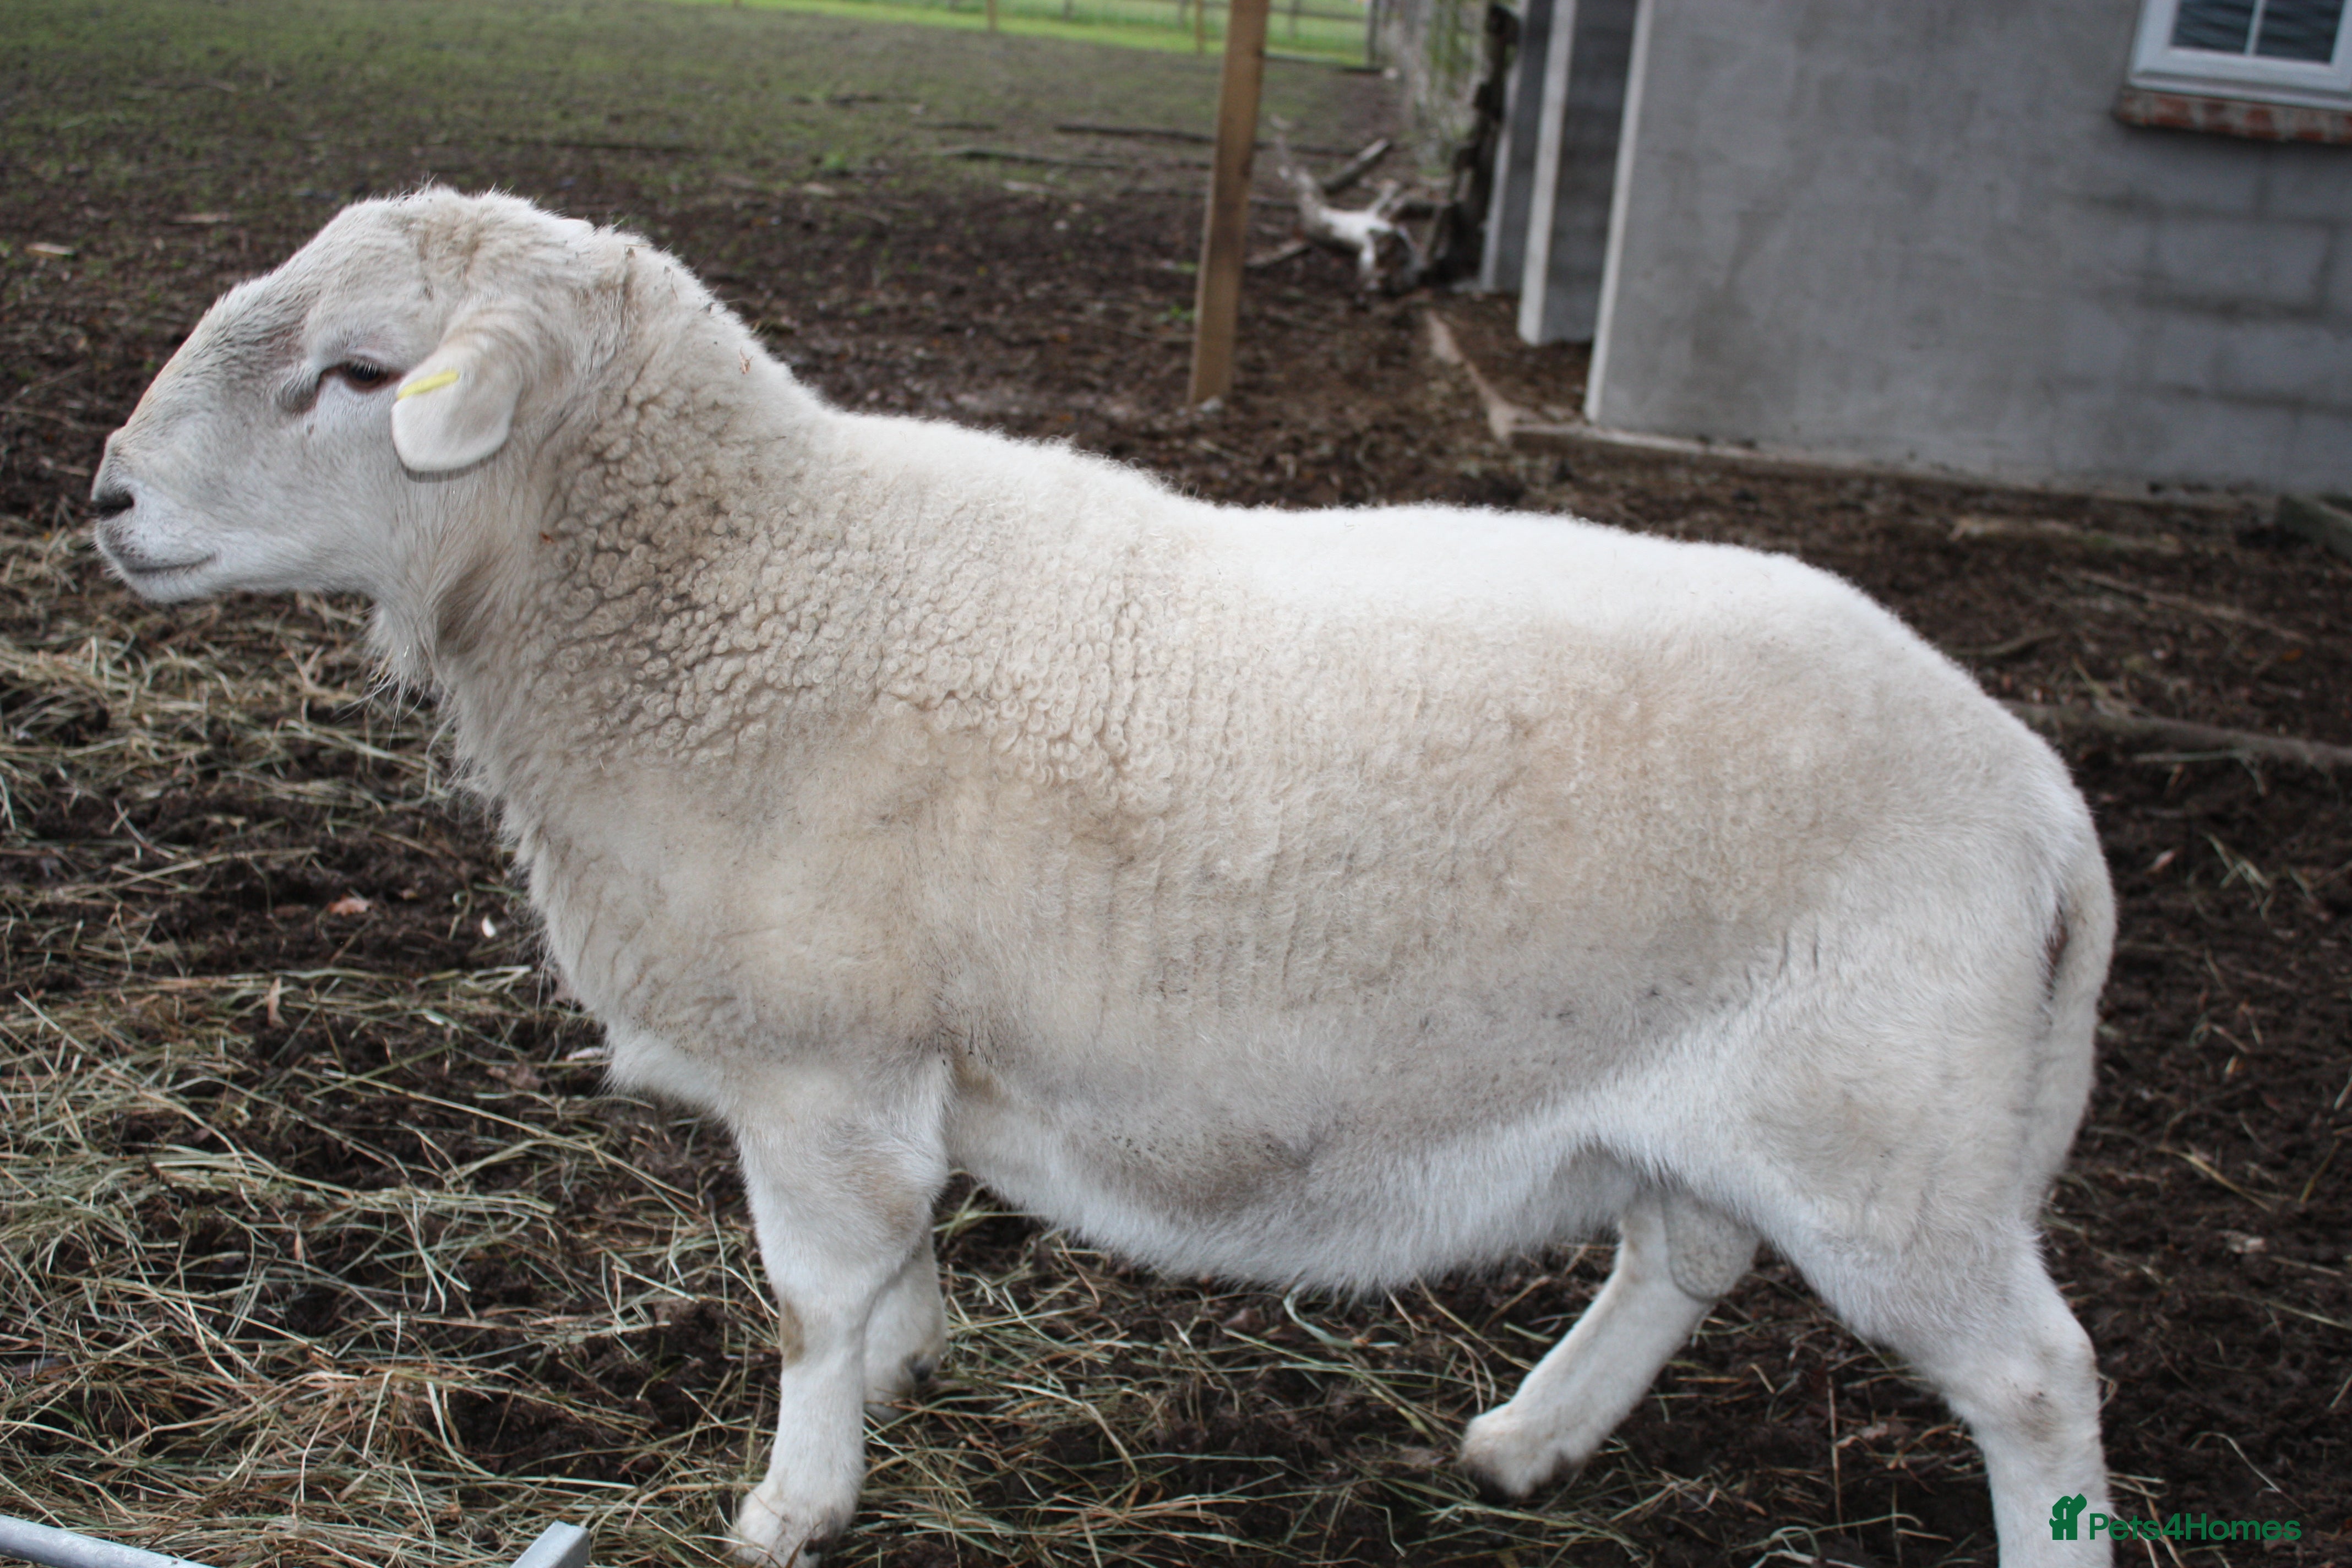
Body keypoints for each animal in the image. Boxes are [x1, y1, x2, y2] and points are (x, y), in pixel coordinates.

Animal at [91, 189, 2116, 1567]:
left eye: (361, 375)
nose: (104, 498)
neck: (734, 589)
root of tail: (2044, 803)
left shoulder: (824, 1059)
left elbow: (811, 1294)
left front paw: (791, 1500)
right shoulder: (882, 1070)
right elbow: (893, 1264)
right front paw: (903, 1370)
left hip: (1892, 1141)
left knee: (2037, 1378)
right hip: (1750, 1105)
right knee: (1678, 1252)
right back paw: (1528, 1440)